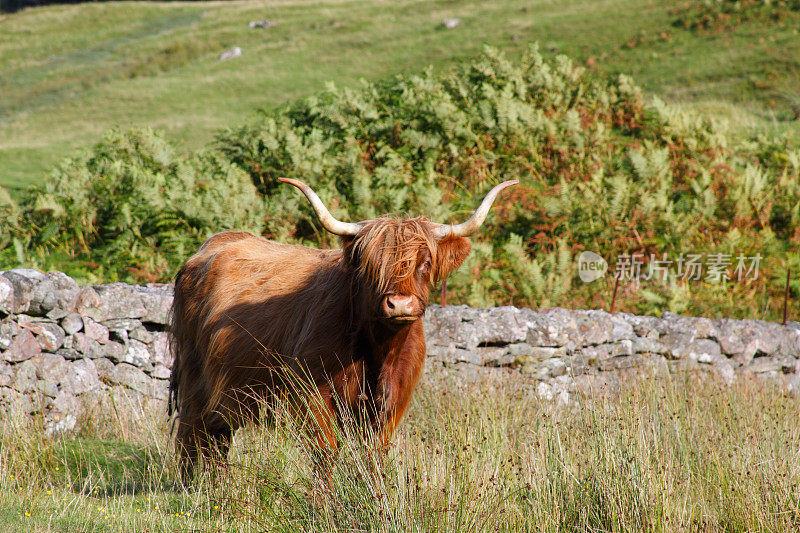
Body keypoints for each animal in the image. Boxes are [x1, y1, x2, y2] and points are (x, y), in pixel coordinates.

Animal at [170, 178, 520, 478]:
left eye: (426, 263)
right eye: (372, 266)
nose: (400, 304)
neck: (379, 351)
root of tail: (213, 244)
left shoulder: (393, 402)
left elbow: (374, 456)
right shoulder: (312, 393)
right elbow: (326, 453)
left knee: (217, 438)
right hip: (195, 379)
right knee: (192, 436)